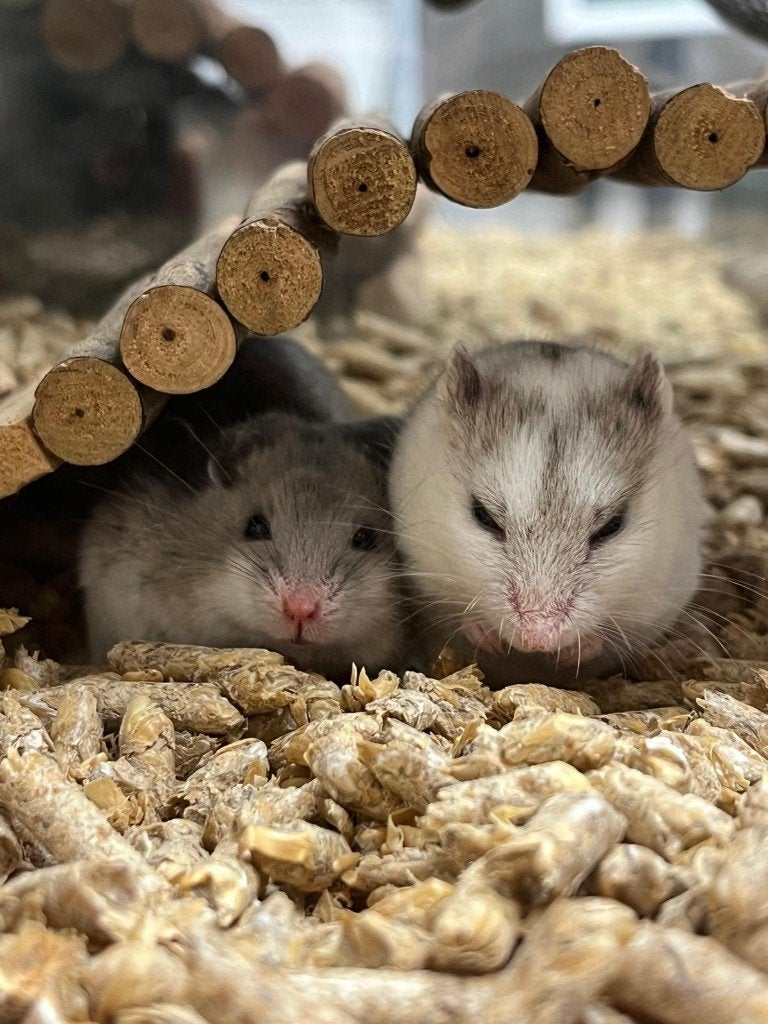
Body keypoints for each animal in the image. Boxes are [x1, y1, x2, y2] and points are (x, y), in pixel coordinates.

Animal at [390, 340, 708, 685]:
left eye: (612, 525)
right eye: (483, 516)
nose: (538, 639)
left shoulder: (652, 602)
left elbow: (606, 639)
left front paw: (569, 654)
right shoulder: (429, 578)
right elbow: (459, 616)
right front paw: (491, 640)